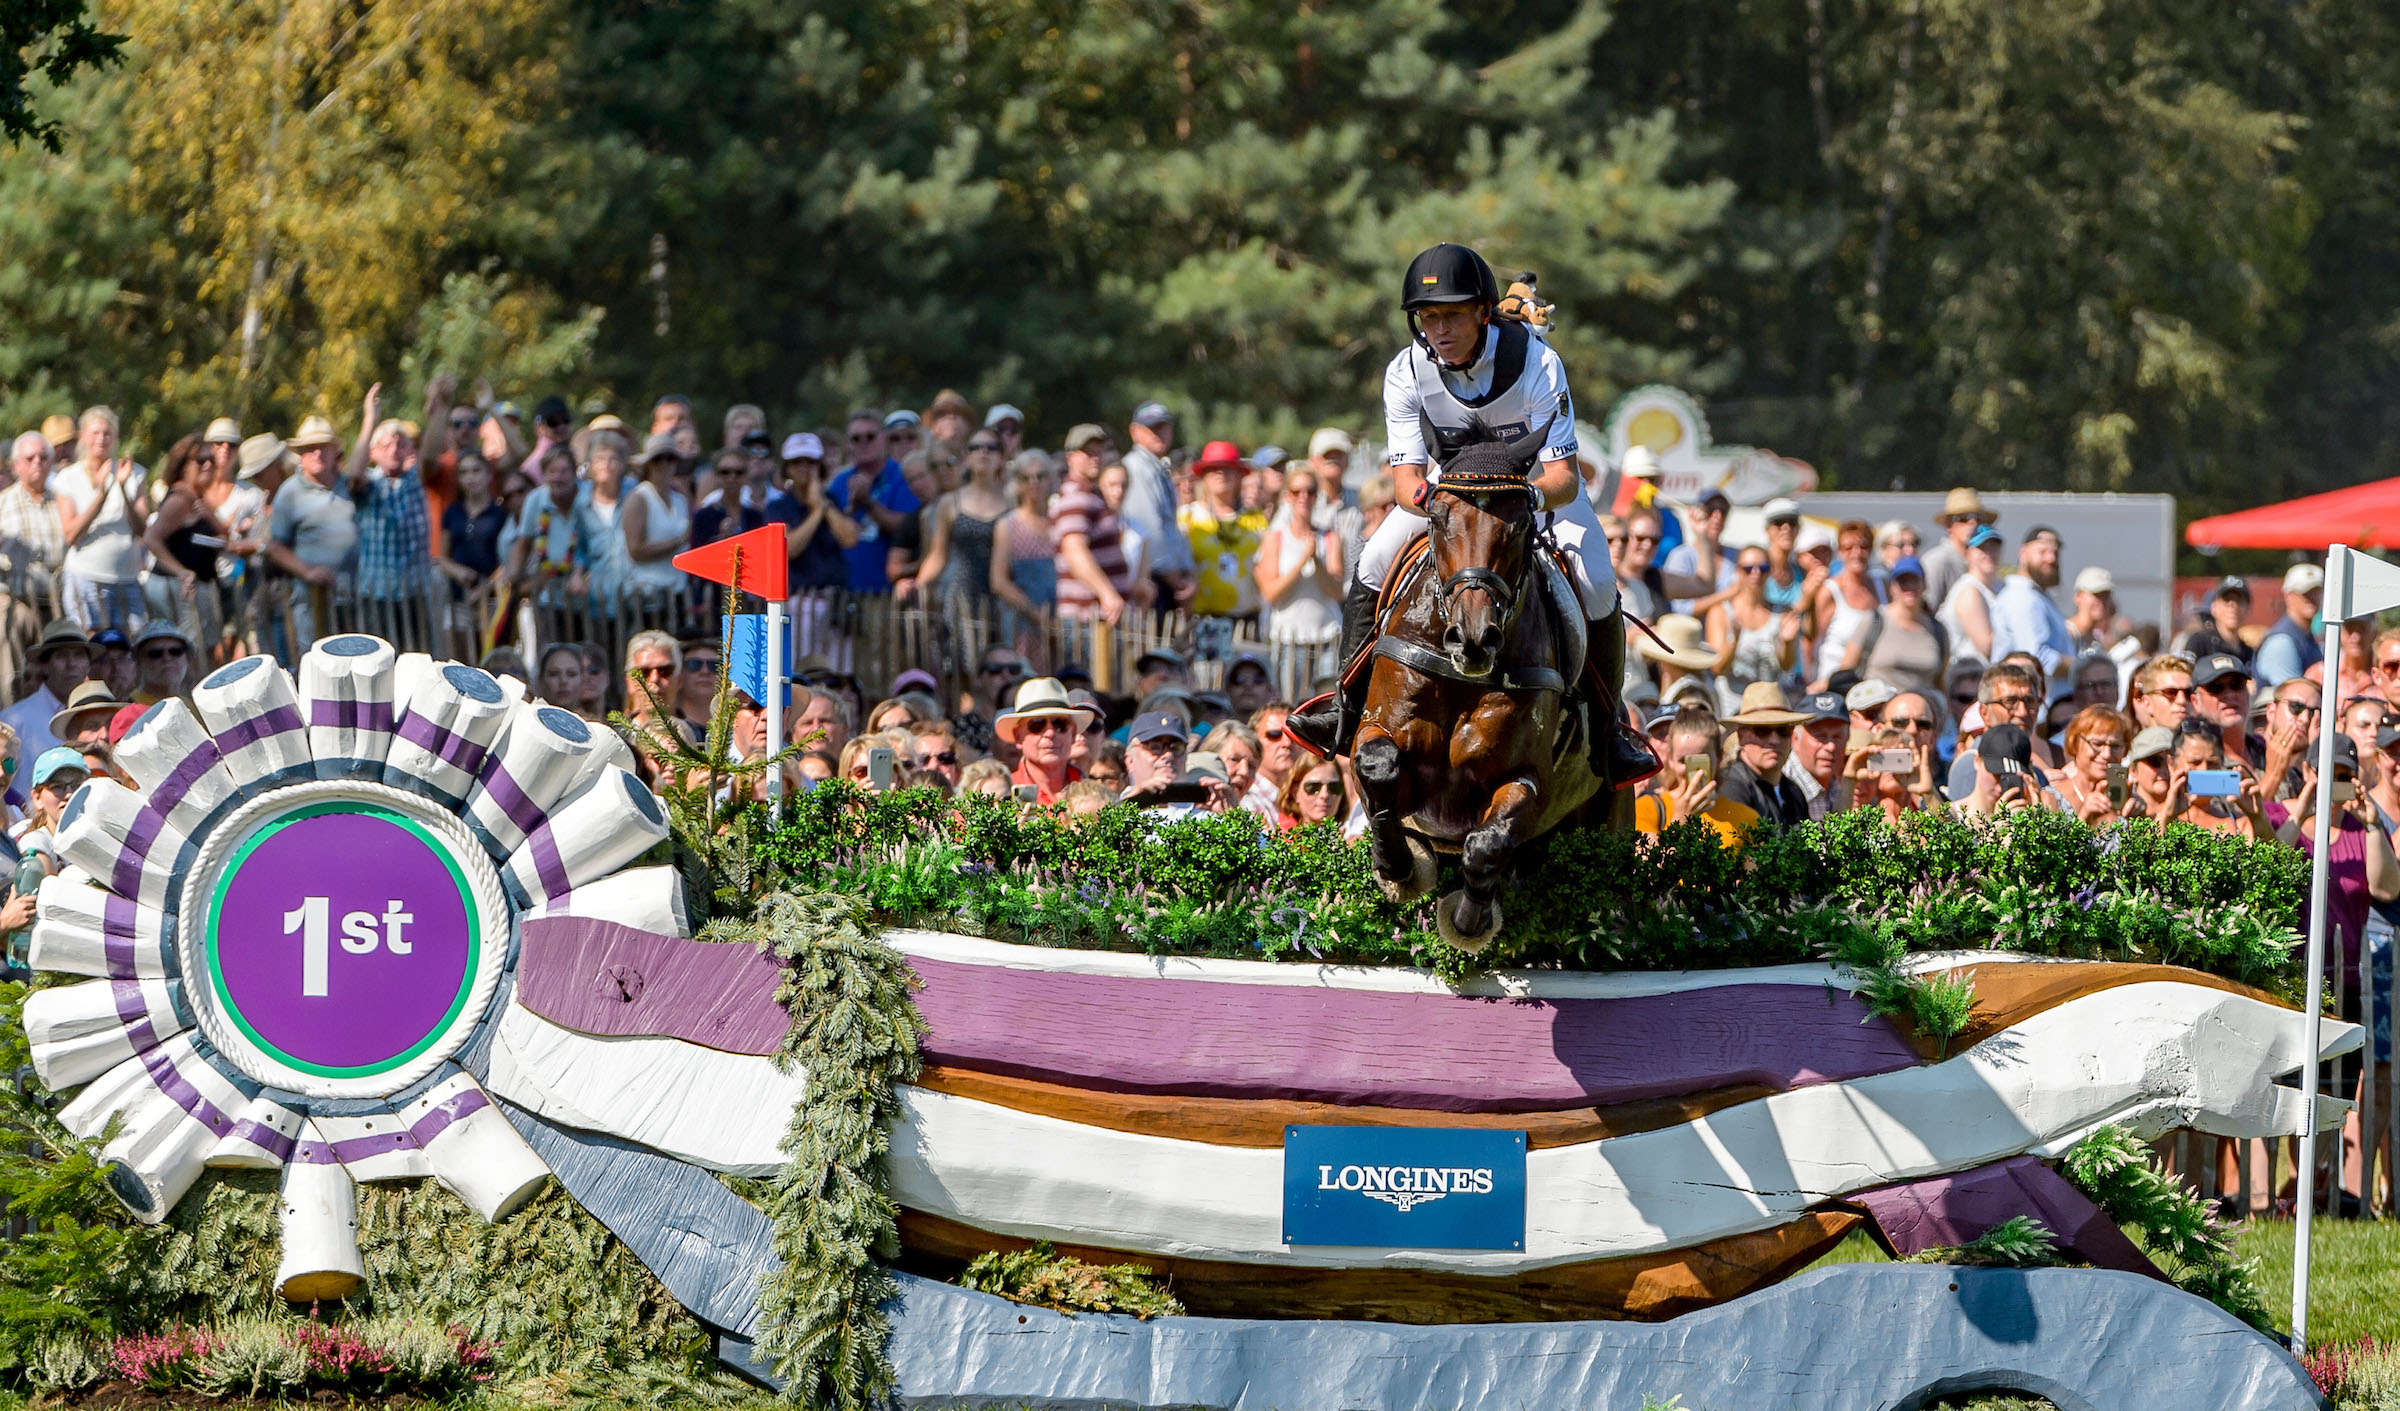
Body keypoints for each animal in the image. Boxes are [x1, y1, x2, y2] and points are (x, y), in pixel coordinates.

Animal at [1353, 424, 1612, 955]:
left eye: (1521, 524)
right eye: (1437, 517)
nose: (1473, 639)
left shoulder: (1526, 779)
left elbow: (1488, 842)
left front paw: (1469, 920)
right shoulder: (1375, 734)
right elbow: (1378, 766)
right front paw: (1400, 869)